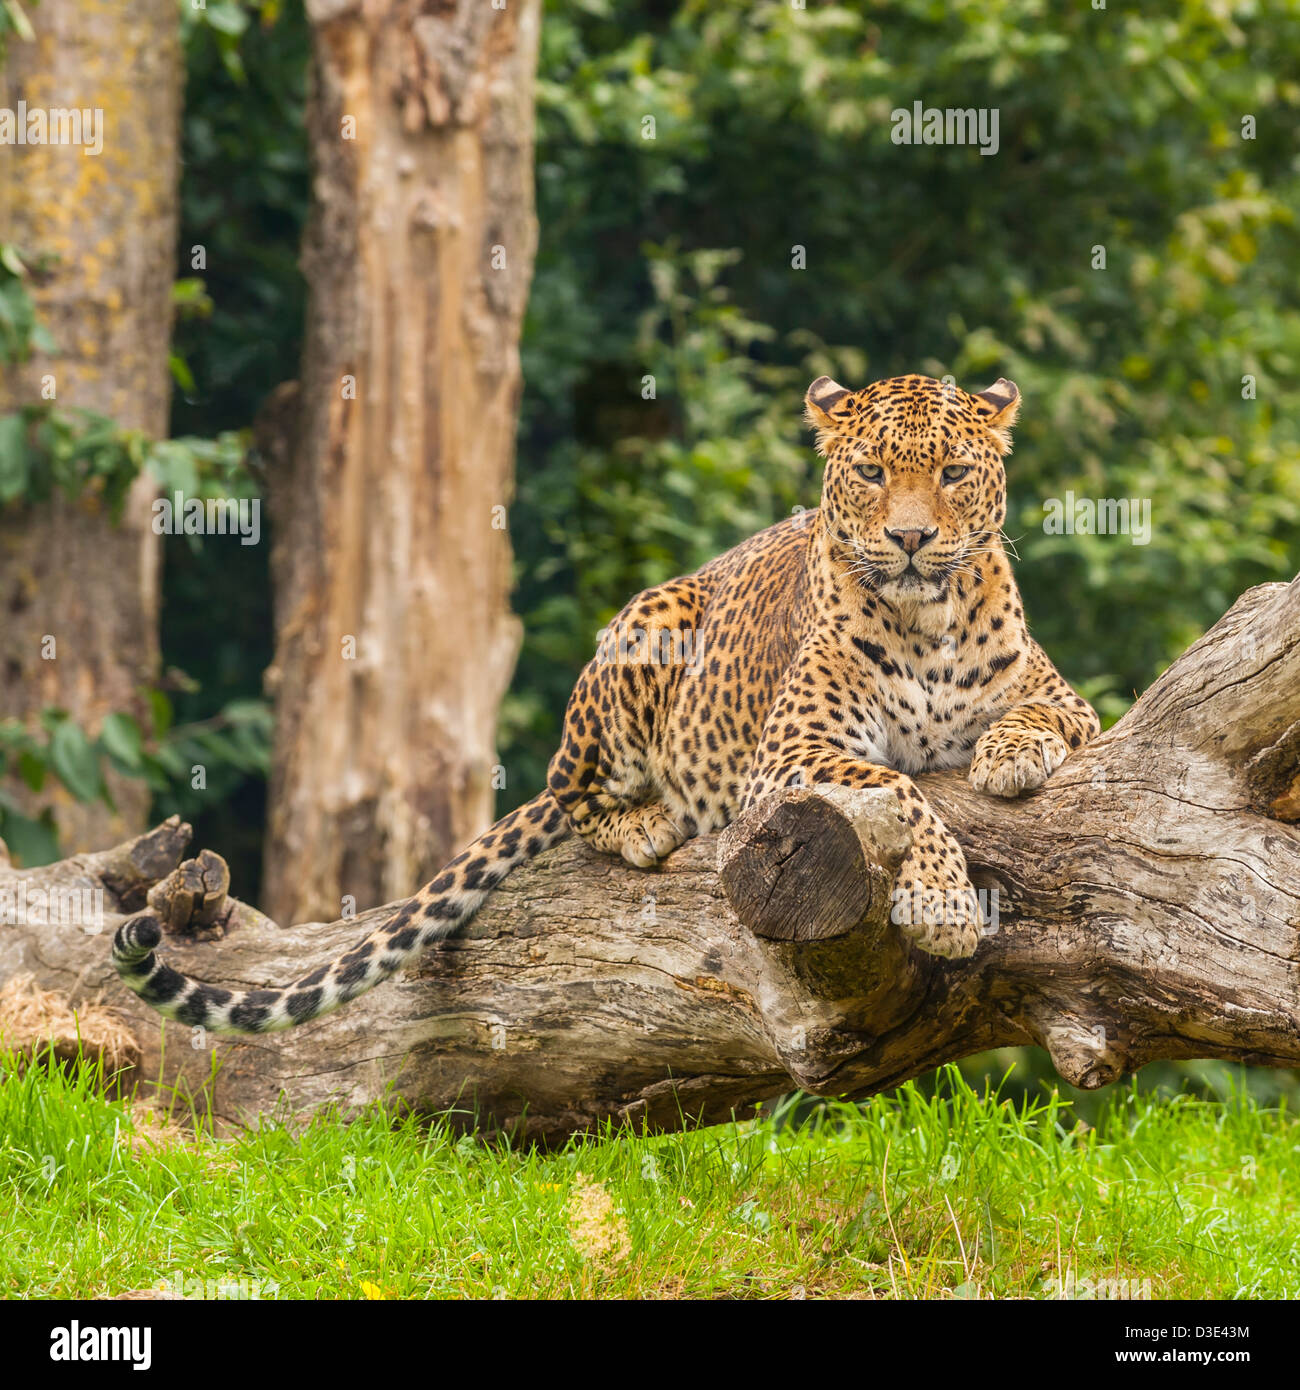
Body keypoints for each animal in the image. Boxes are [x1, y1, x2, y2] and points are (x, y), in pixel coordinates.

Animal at [116, 369, 1101, 1034]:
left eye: (955, 473)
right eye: (868, 473)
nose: (910, 538)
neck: (926, 620)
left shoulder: (1064, 694)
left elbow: (1044, 714)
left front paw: (1009, 755)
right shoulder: (791, 753)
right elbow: (901, 789)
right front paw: (943, 907)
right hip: (644, 626)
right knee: (572, 790)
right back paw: (644, 825)